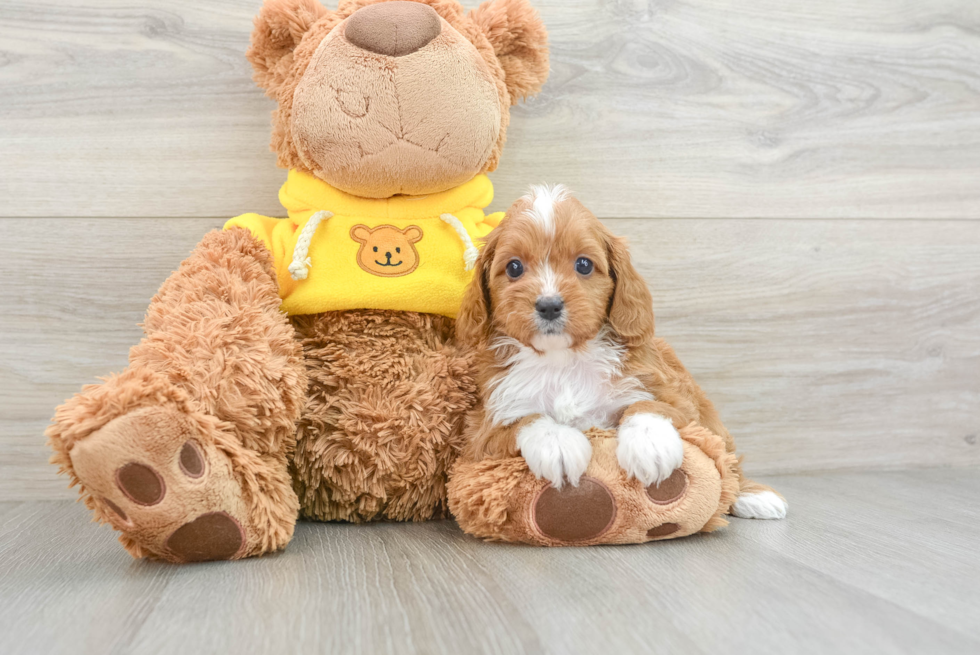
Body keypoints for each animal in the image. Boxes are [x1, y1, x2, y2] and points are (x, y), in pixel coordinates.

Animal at [458, 186, 788, 524]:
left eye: (584, 265)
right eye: (514, 267)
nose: (549, 305)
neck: (563, 360)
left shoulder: (677, 400)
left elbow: (648, 405)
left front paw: (650, 443)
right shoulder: (481, 432)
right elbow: (524, 421)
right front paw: (558, 443)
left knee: (727, 458)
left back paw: (752, 496)